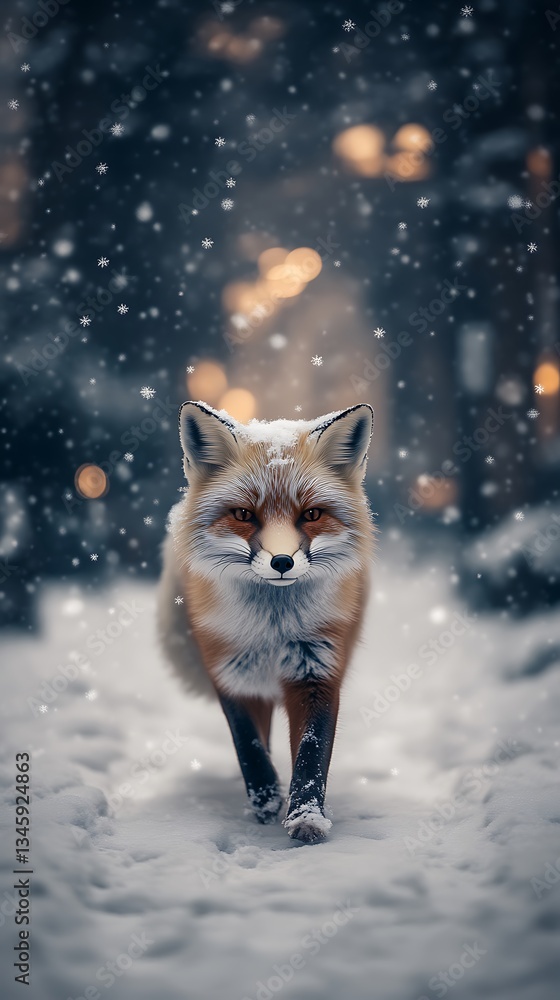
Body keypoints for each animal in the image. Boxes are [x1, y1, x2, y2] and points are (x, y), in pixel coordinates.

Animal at [157, 400, 374, 843]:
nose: (282, 562)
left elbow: (311, 754)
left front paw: (306, 817)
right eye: (243, 514)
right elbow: (249, 746)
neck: (274, 629)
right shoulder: (232, 672)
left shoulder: (317, 669)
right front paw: (265, 798)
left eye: (311, 514)